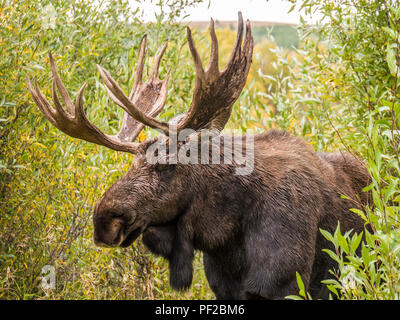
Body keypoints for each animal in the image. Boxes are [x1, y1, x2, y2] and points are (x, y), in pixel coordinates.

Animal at [25, 11, 370, 298]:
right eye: (132, 163)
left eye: (167, 165)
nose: (104, 221)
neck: (226, 234)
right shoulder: (224, 286)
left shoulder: (285, 281)